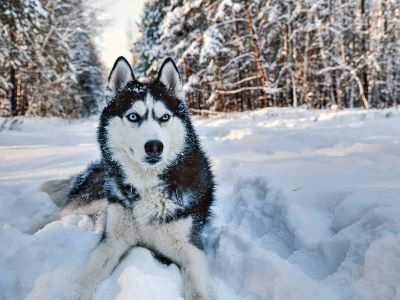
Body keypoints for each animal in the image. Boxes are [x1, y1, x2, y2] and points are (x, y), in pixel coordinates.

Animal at [38, 56, 216, 300]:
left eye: (165, 117)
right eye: (133, 116)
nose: (154, 146)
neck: (147, 187)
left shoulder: (191, 249)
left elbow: (197, 290)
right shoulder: (111, 242)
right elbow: (84, 280)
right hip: (94, 198)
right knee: (57, 214)